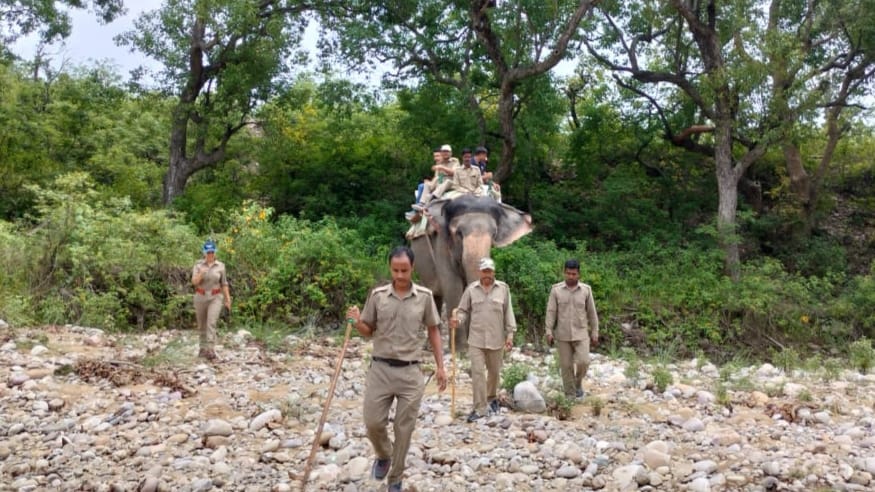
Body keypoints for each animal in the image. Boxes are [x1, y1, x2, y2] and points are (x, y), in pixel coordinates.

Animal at [407, 194, 533, 349]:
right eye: (459, 233)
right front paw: (461, 349)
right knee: (433, 293)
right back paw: (430, 347)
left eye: (494, 234)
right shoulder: (441, 243)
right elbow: (453, 286)